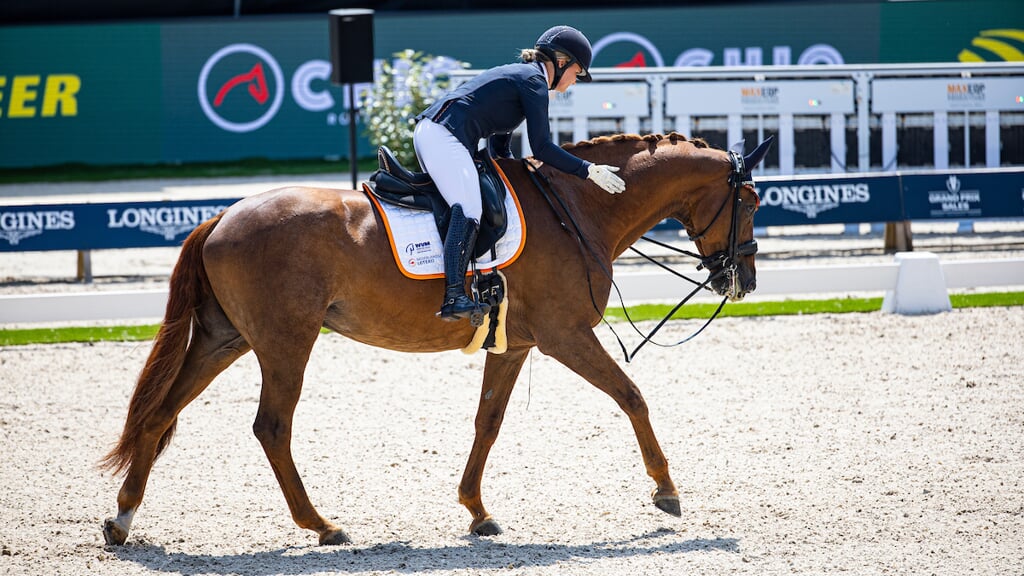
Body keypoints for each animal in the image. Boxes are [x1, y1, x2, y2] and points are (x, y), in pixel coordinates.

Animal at [101, 132, 770, 545]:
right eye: (753, 199)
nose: (744, 280)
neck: (577, 209)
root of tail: (222, 215)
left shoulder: (517, 344)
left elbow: (488, 422)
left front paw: (477, 511)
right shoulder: (566, 336)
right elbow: (632, 397)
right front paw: (665, 490)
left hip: (225, 340)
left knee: (160, 414)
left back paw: (123, 519)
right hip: (285, 342)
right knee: (272, 427)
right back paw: (322, 525)